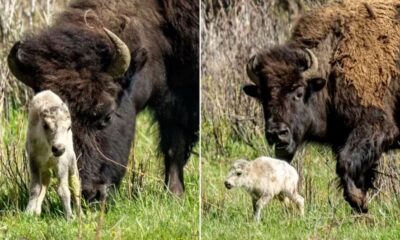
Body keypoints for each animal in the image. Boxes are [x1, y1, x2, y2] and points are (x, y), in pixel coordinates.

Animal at [7, 0, 198, 201]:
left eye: (107, 116)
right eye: (47, 123)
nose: (91, 193)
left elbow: (175, 145)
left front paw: (174, 195)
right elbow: (172, 145)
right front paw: (174, 194)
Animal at [25, 90, 81, 219]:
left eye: (69, 127)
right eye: (46, 125)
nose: (58, 149)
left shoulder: (61, 163)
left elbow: (63, 190)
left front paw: (70, 217)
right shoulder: (34, 161)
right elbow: (35, 188)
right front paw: (28, 212)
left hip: (72, 161)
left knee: (75, 184)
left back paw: (81, 215)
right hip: (45, 167)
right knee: (46, 180)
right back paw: (37, 211)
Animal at [242, 0, 400, 214]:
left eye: (299, 92)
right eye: (263, 97)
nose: (277, 133)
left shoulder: (376, 126)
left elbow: (344, 163)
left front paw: (359, 201)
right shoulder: (344, 138)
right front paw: (360, 205)